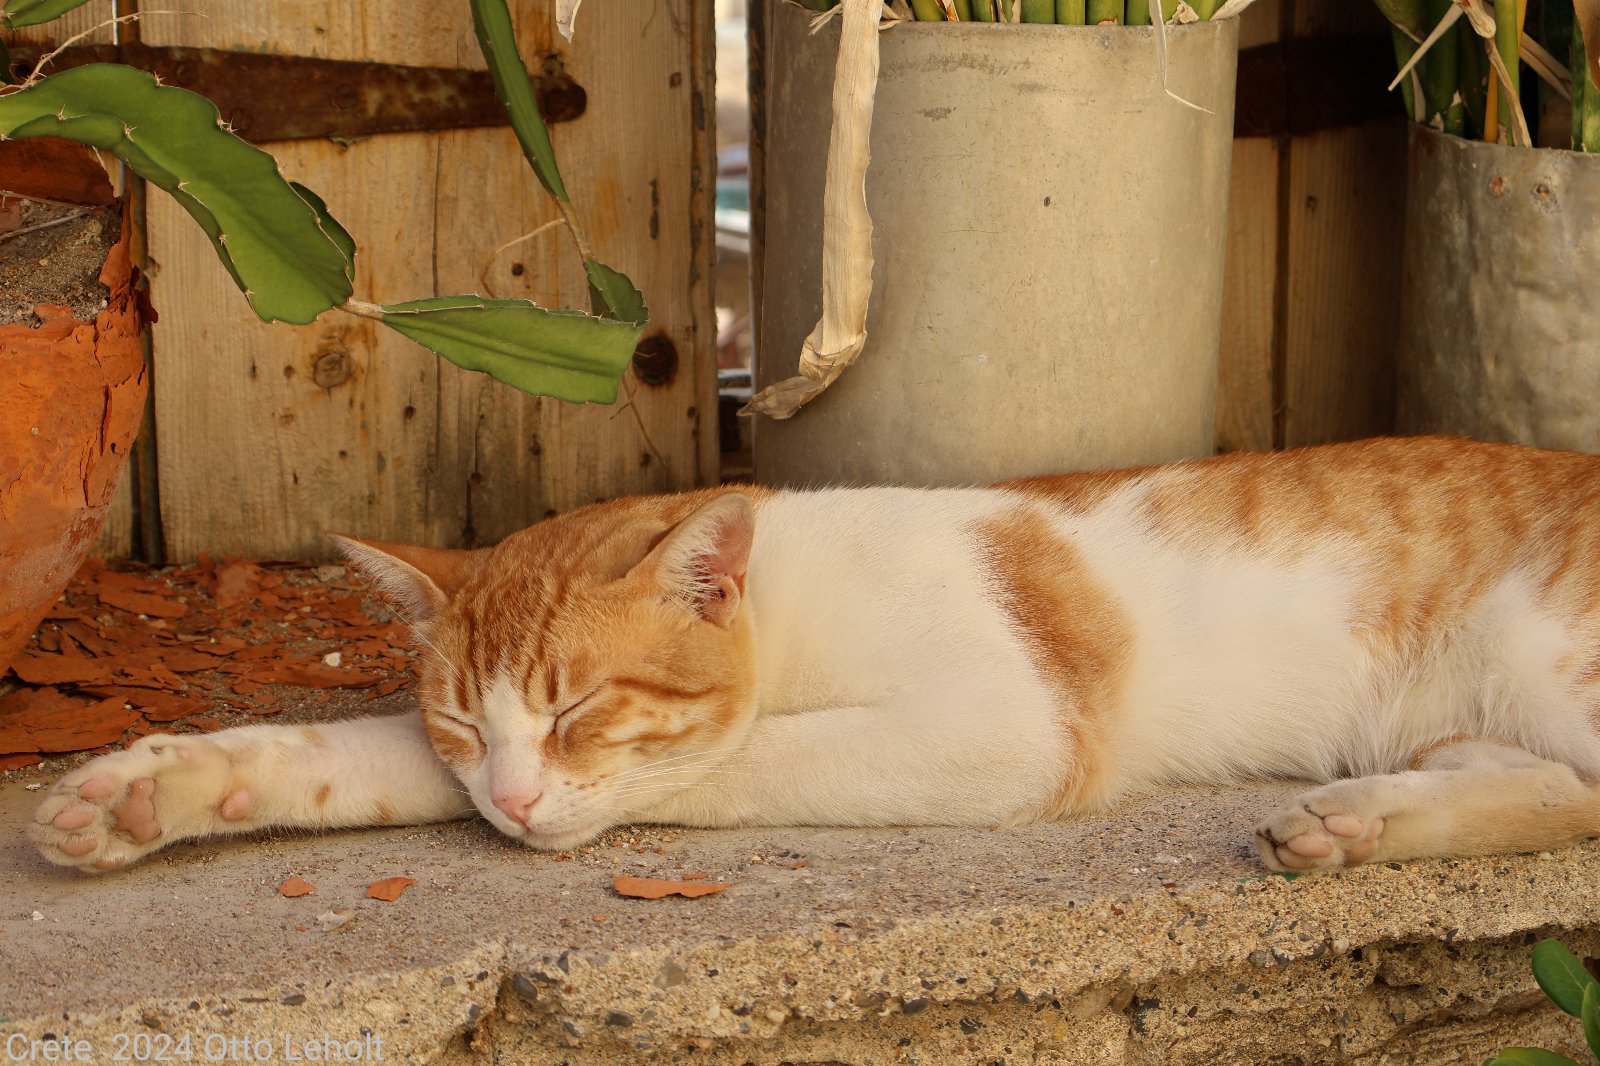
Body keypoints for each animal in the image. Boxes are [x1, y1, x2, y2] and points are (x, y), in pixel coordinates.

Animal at [25, 432, 1600, 870]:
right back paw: (1357, 820)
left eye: (585, 709)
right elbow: (353, 754)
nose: (516, 807)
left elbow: (720, 764)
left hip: (1554, 662)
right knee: (1559, 795)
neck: (787, 611)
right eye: (469, 728)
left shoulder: (1003, 723)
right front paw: (155, 789)